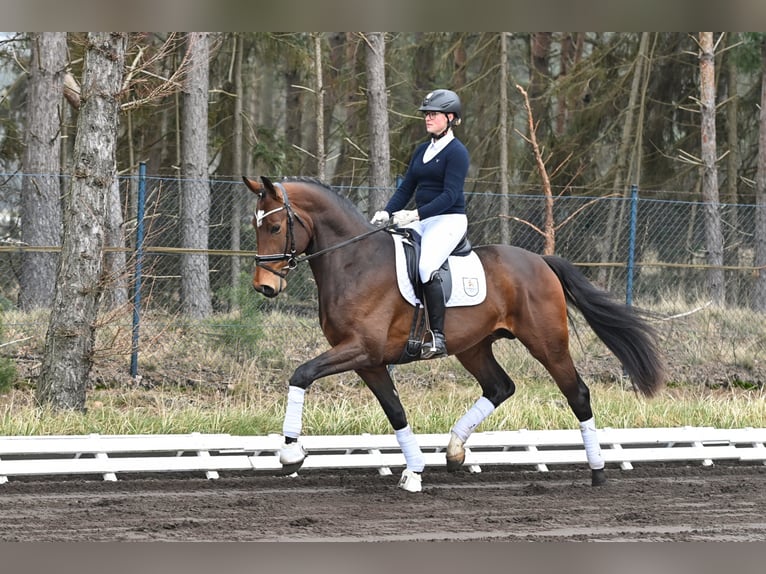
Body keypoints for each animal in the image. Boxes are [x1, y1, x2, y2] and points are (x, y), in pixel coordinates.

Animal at [246, 177, 664, 496]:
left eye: (275, 228)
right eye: (255, 226)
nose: (264, 287)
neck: (354, 262)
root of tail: (540, 261)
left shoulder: (360, 349)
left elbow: (301, 374)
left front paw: (291, 453)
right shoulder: (370, 361)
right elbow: (395, 411)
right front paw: (414, 471)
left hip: (547, 344)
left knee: (576, 393)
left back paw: (598, 470)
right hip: (474, 347)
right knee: (500, 387)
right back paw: (454, 451)